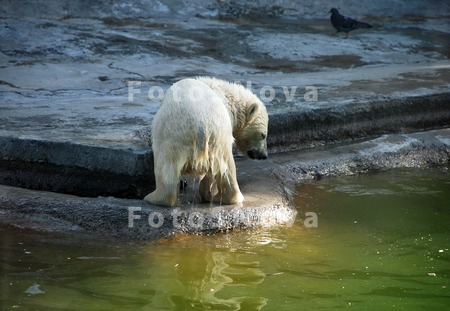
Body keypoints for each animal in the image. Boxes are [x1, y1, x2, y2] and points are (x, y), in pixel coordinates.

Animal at [145, 76, 268, 207]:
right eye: (263, 135)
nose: (264, 155)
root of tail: (200, 127)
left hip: (174, 136)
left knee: (165, 167)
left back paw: (154, 198)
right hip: (215, 137)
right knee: (225, 165)